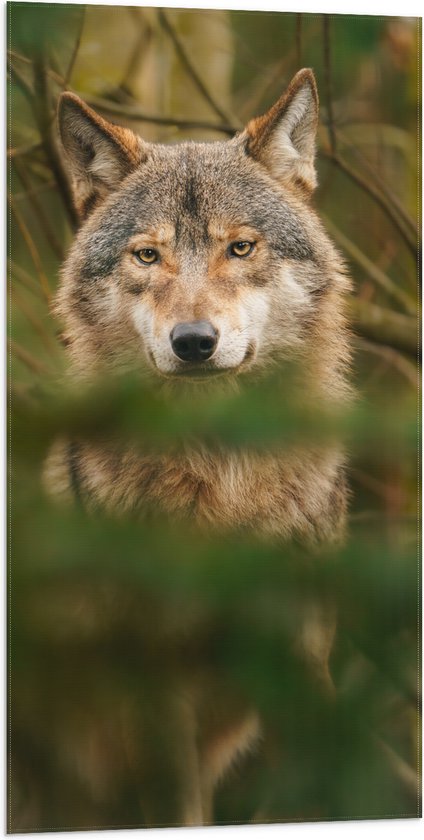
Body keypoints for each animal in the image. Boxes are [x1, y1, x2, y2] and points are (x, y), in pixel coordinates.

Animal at [41, 70, 352, 828]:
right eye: (147, 254)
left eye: (239, 248)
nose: (193, 343)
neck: (224, 482)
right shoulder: (155, 682)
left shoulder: (300, 655)